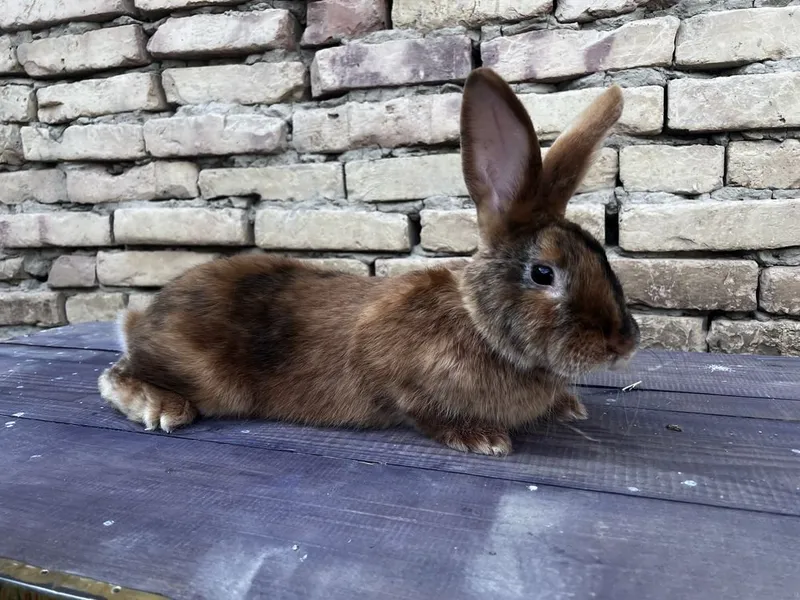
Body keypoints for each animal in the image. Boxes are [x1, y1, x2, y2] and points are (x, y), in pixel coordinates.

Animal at [98, 67, 640, 457]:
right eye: (543, 273)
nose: (624, 343)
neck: (478, 323)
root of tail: (142, 319)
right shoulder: (393, 373)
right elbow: (420, 410)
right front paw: (482, 438)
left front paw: (569, 407)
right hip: (202, 376)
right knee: (115, 374)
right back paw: (163, 407)